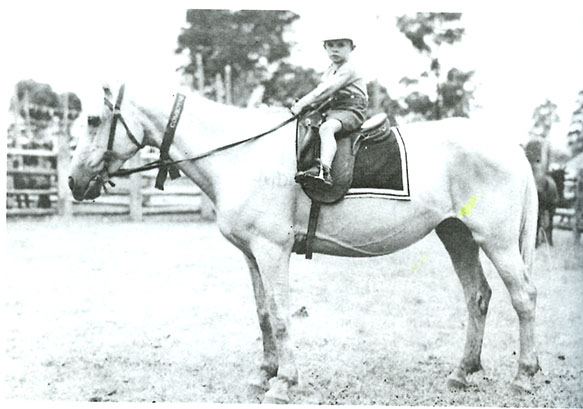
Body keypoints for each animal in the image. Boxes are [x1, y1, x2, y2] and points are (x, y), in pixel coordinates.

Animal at [67, 83, 540, 402]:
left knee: (524, 297)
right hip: (457, 235)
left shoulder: (272, 250)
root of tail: (513, 149)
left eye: (93, 120)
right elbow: (262, 314)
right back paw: (462, 372)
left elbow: (279, 316)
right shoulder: (252, 255)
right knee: (478, 296)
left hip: (496, 242)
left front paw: (283, 382)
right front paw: (263, 374)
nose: (72, 182)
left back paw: (523, 375)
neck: (241, 153)